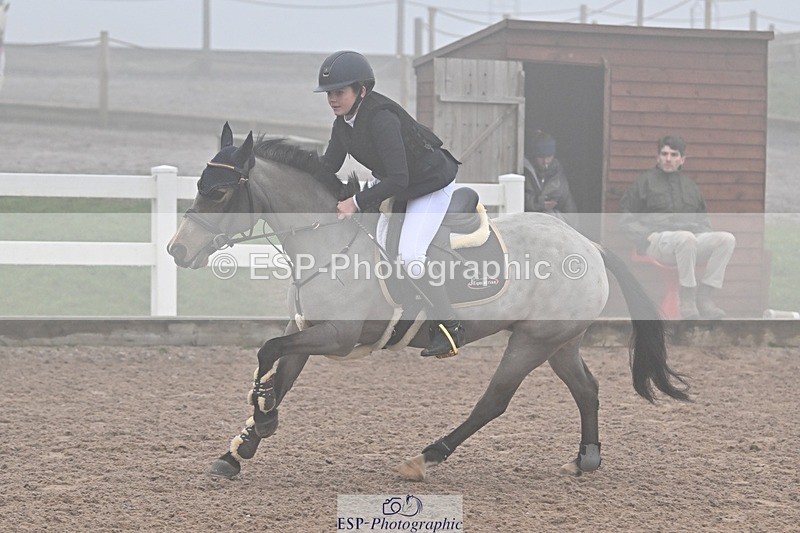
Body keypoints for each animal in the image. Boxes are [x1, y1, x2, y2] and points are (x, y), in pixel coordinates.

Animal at [167, 123, 689, 481]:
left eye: (218, 192)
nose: (177, 251)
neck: (328, 239)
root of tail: (587, 245)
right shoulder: (307, 328)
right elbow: (279, 370)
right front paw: (241, 447)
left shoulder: (336, 337)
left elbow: (268, 353)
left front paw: (261, 418)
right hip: (559, 340)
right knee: (587, 389)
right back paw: (588, 458)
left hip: (532, 341)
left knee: (494, 402)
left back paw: (426, 456)